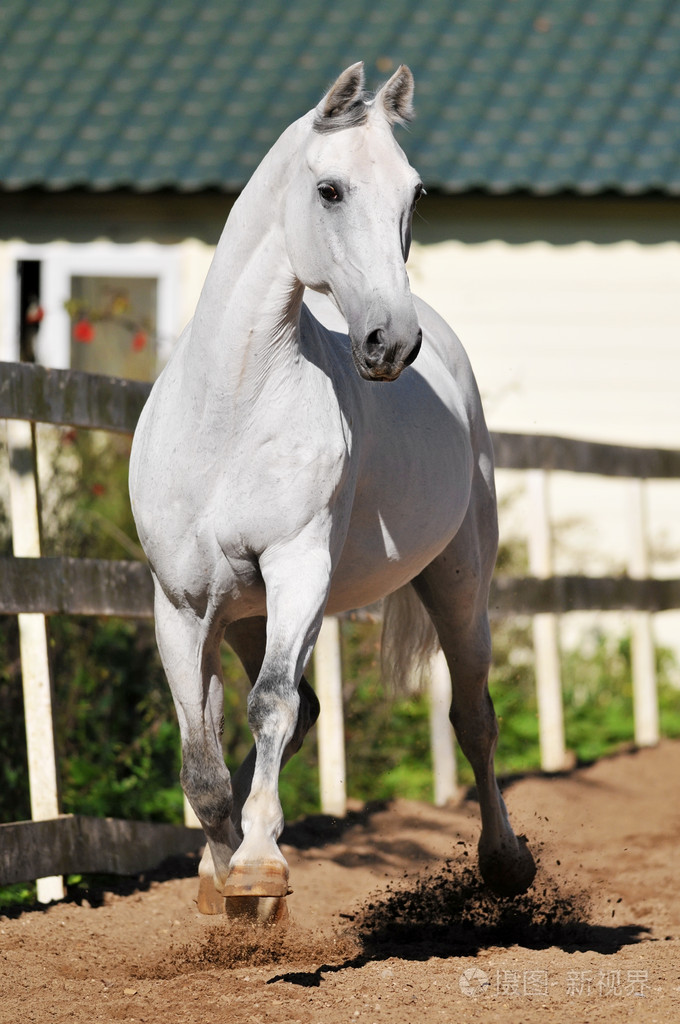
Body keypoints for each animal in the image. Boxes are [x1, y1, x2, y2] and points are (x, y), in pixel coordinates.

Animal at [129, 62, 536, 920]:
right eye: (330, 189)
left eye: (414, 192)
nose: (392, 341)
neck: (230, 410)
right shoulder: (180, 604)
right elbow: (202, 762)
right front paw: (231, 893)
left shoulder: (298, 569)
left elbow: (272, 706)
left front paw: (258, 869)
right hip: (244, 616)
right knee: (293, 714)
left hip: (456, 584)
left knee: (473, 717)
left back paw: (505, 862)